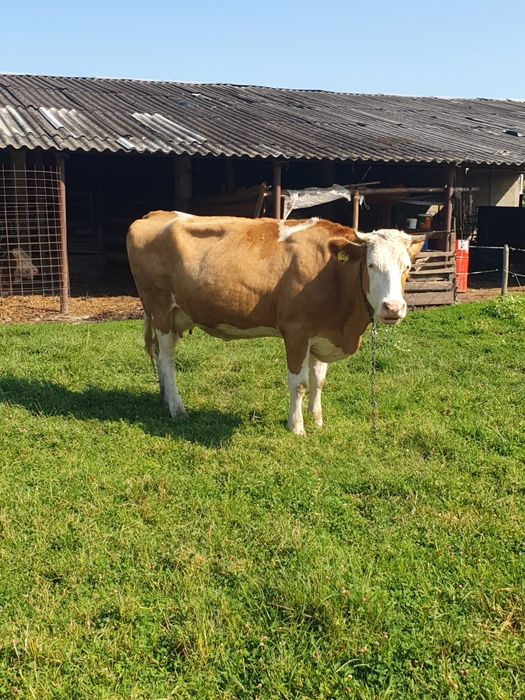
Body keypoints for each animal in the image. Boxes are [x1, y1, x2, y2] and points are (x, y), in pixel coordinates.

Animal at [126, 211, 426, 435]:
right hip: (161, 309)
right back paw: (177, 408)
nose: (393, 308)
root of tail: (155, 215)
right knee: (167, 359)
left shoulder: (322, 334)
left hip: (170, 315)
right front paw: (297, 427)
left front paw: (317, 420)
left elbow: (319, 380)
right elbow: (300, 383)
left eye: (407, 267)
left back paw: (165, 398)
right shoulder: (296, 331)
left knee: (160, 356)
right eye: (371, 264)